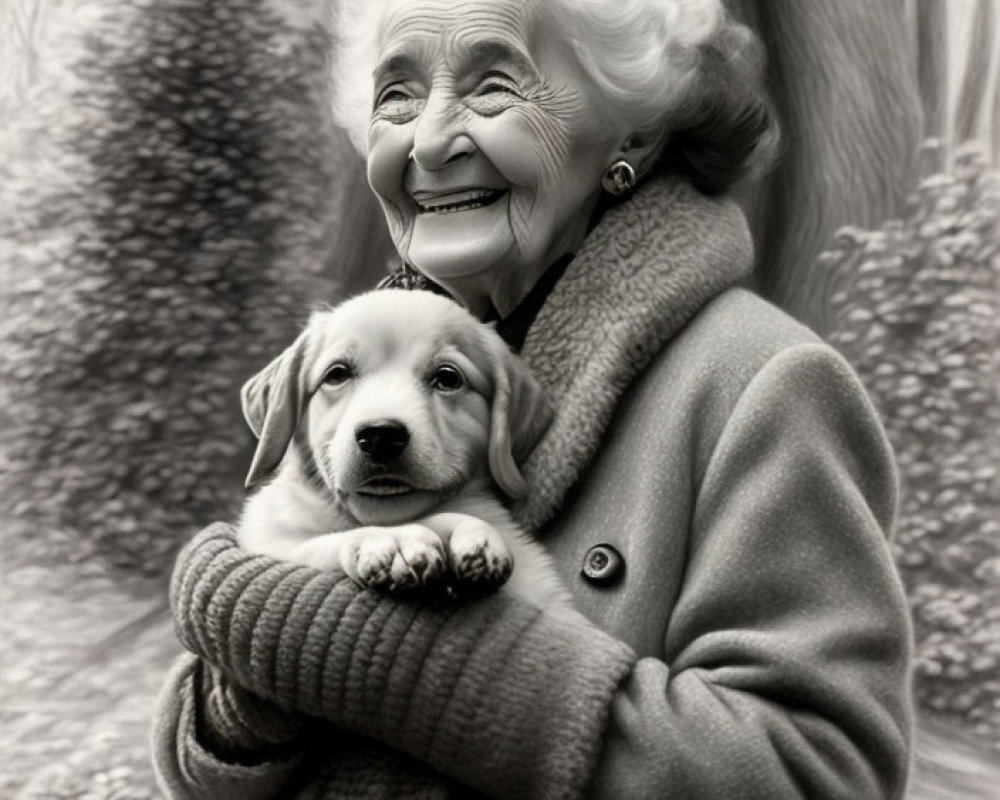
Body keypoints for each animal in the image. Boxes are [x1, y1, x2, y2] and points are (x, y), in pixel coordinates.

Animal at [237, 290, 576, 620]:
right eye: (337, 374)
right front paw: (392, 538)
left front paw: (473, 531)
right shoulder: (266, 539)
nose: (380, 435)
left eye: (448, 378)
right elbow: (315, 543)